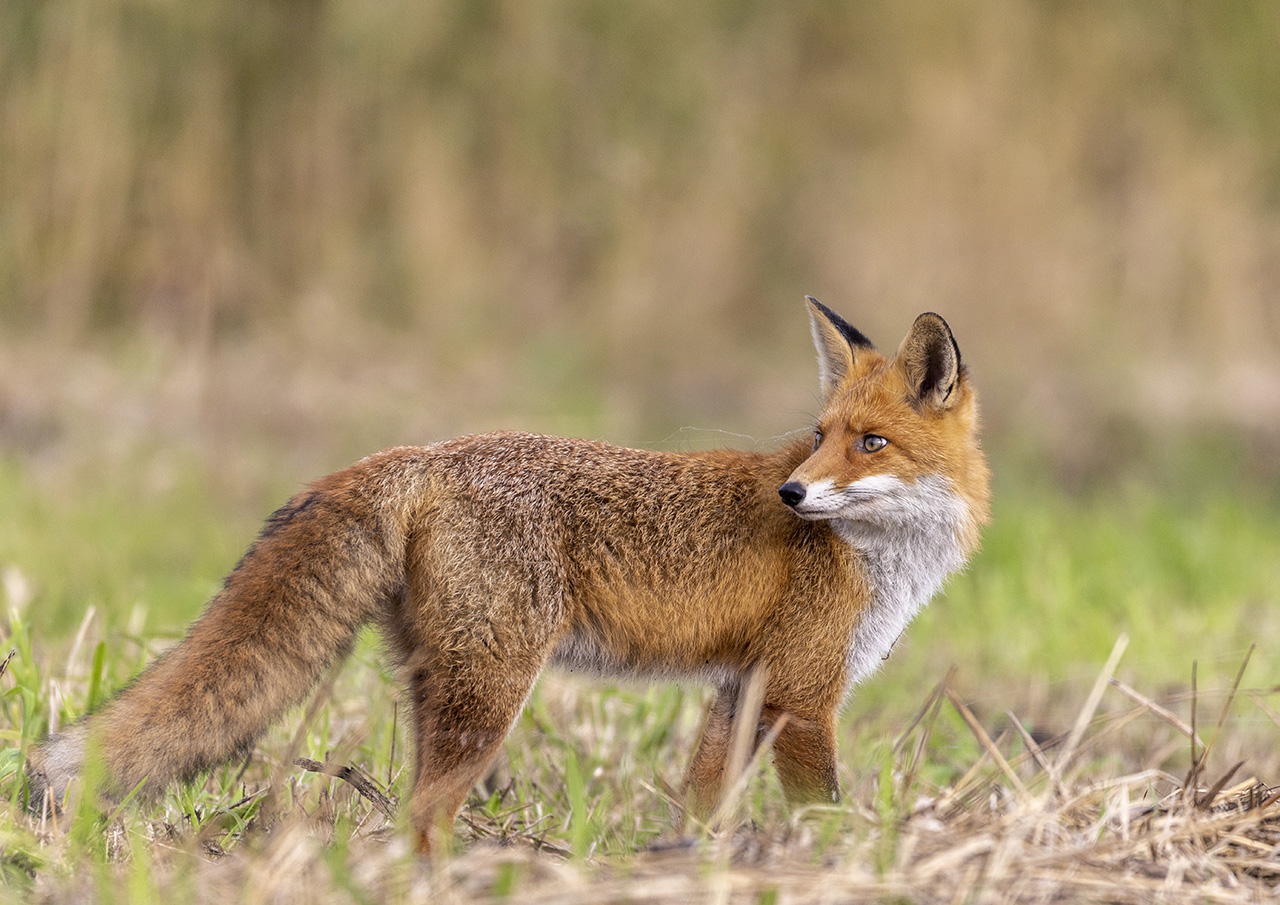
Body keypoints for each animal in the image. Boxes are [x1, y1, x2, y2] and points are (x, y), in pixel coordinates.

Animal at [27, 300, 988, 855]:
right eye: (821, 436)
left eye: (869, 442)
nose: (792, 493)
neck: (882, 554)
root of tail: (420, 452)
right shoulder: (802, 692)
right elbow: (824, 812)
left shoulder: (741, 688)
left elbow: (699, 806)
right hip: (492, 694)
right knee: (423, 815)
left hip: (441, 688)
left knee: (411, 812)